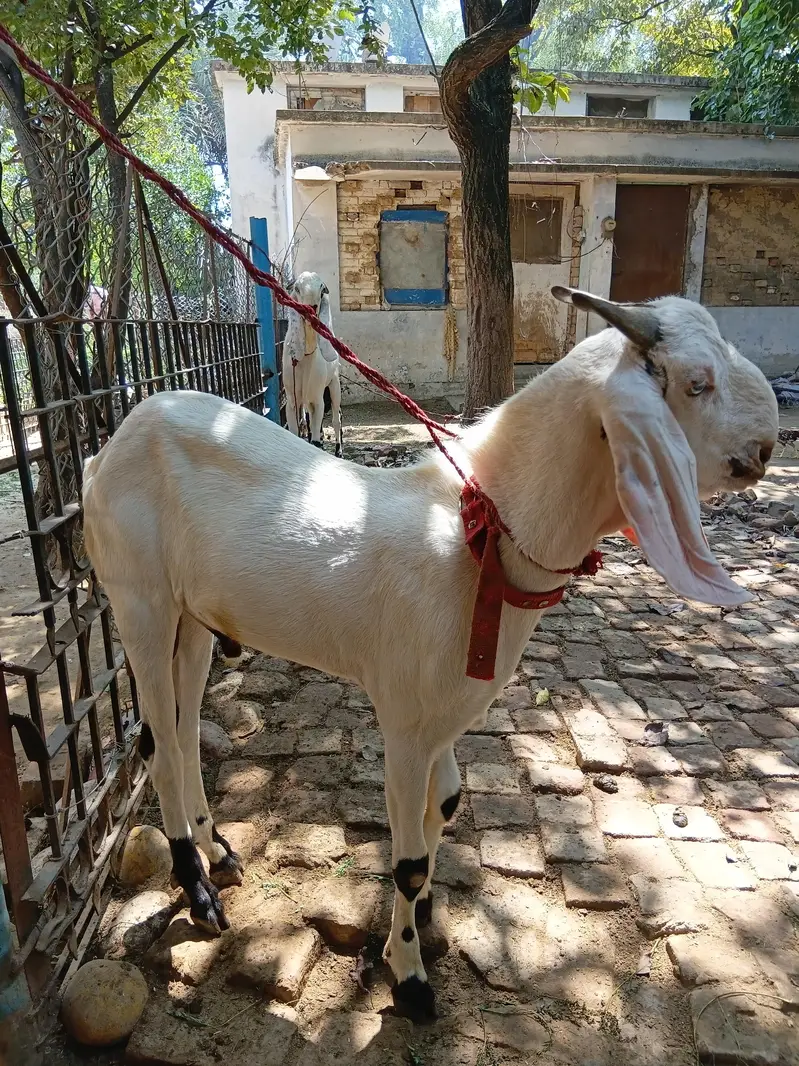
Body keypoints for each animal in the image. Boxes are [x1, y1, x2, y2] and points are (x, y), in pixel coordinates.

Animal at [283, 271, 343, 457]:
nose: (310, 308)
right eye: (296, 288)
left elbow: (316, 440)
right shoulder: (292, 399)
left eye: (322, 289)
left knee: (337, 419)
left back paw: (339, 451)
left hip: (334, 383)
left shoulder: (318, 399)